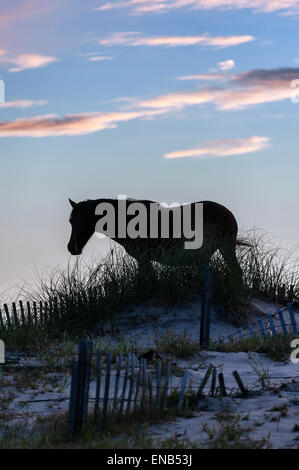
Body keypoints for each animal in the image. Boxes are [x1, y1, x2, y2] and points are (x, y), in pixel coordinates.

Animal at [68, 198, 248, 280]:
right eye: (71, 221)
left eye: (78, 221)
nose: (72, 248)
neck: (128, 221)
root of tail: (228, 213)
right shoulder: (144, 260)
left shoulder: (144, 259)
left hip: (225, 248)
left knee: (237, 272)